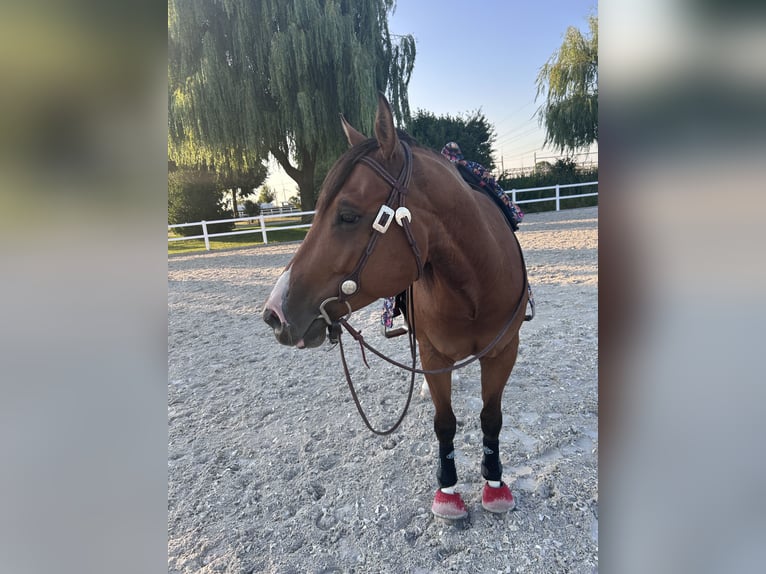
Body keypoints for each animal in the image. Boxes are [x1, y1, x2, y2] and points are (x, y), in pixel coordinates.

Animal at [262, 94, 530, 520]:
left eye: (347, 215)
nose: (274, 314)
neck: (475, 284)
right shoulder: (434, 353)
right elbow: (445, 421)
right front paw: (448, 492)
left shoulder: (504, 351)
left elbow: (491, 418)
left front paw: (494, 485)